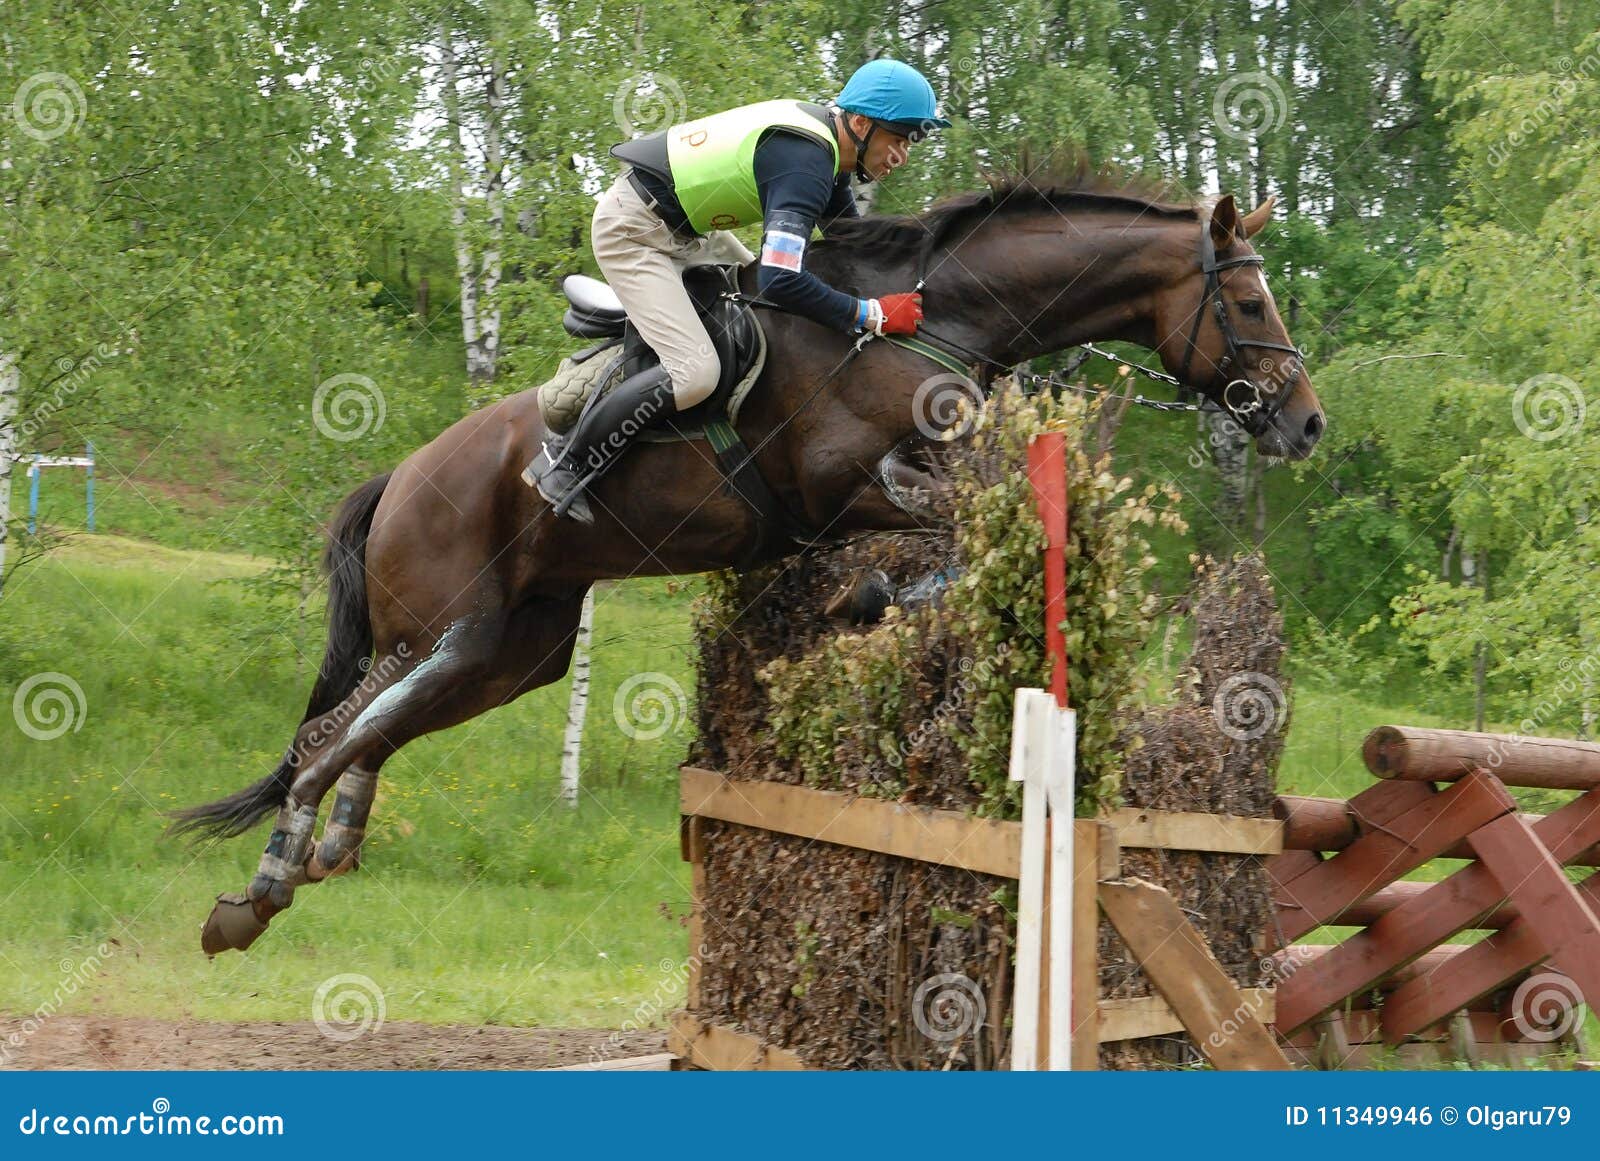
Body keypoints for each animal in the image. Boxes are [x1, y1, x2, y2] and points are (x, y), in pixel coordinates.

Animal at [172, 167, 1324, 954]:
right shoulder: (848, 483)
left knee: (376, 728)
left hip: (515, 651)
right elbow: (951, 525)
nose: (1305, 423)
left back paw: (323, 852)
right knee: (327, 732)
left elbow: (969, 540)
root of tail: (400, 476)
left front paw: (870, 601)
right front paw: (871, 596)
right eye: (1252, 304)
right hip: (446, 625)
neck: (937, 318)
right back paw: (262, 886)